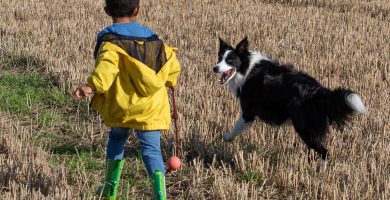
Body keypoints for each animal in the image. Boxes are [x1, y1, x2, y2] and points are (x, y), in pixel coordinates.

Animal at [212, 37, 368, 159]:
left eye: (230, 60)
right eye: (219, 59)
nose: (215, 68)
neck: (247, 67)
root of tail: (317, 91)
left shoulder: (248, 111)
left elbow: (237, 126)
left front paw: (227, 137)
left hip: (305, 129)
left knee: (324, 152)